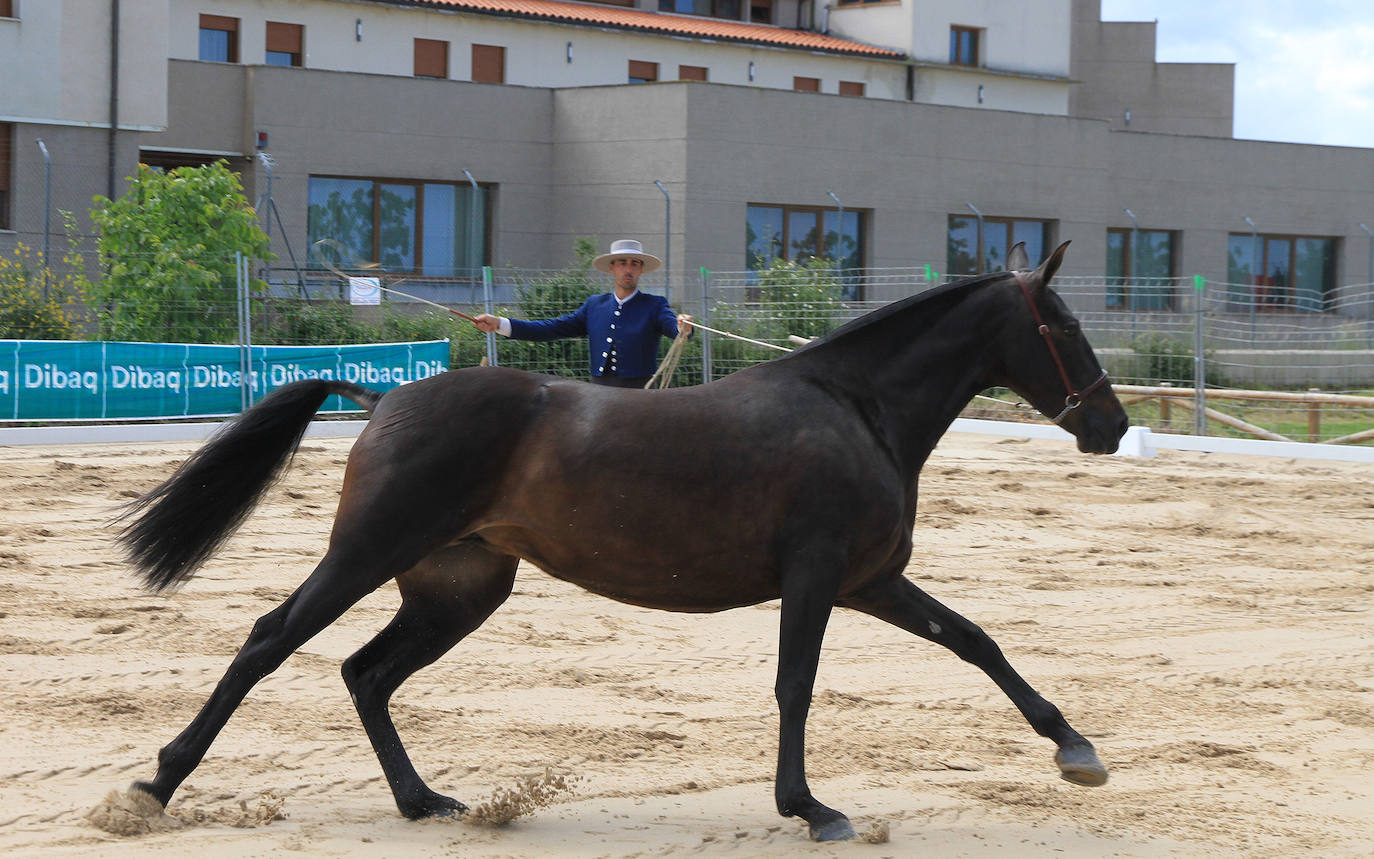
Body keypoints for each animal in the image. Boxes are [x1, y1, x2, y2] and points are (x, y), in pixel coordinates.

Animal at [118, 241, 1126, 835]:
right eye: (1065, 325)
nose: (1110, 425)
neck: (856, 410)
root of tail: (384, 397)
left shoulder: (868, 581)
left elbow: (977, 642)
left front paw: (1076, 750)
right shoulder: (816, 575)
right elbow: (795, 686)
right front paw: (809, 807)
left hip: (459, 588)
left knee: (366, 674)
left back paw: (422, 799)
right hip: (366, 556)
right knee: (269, 642)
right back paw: (154, 786)